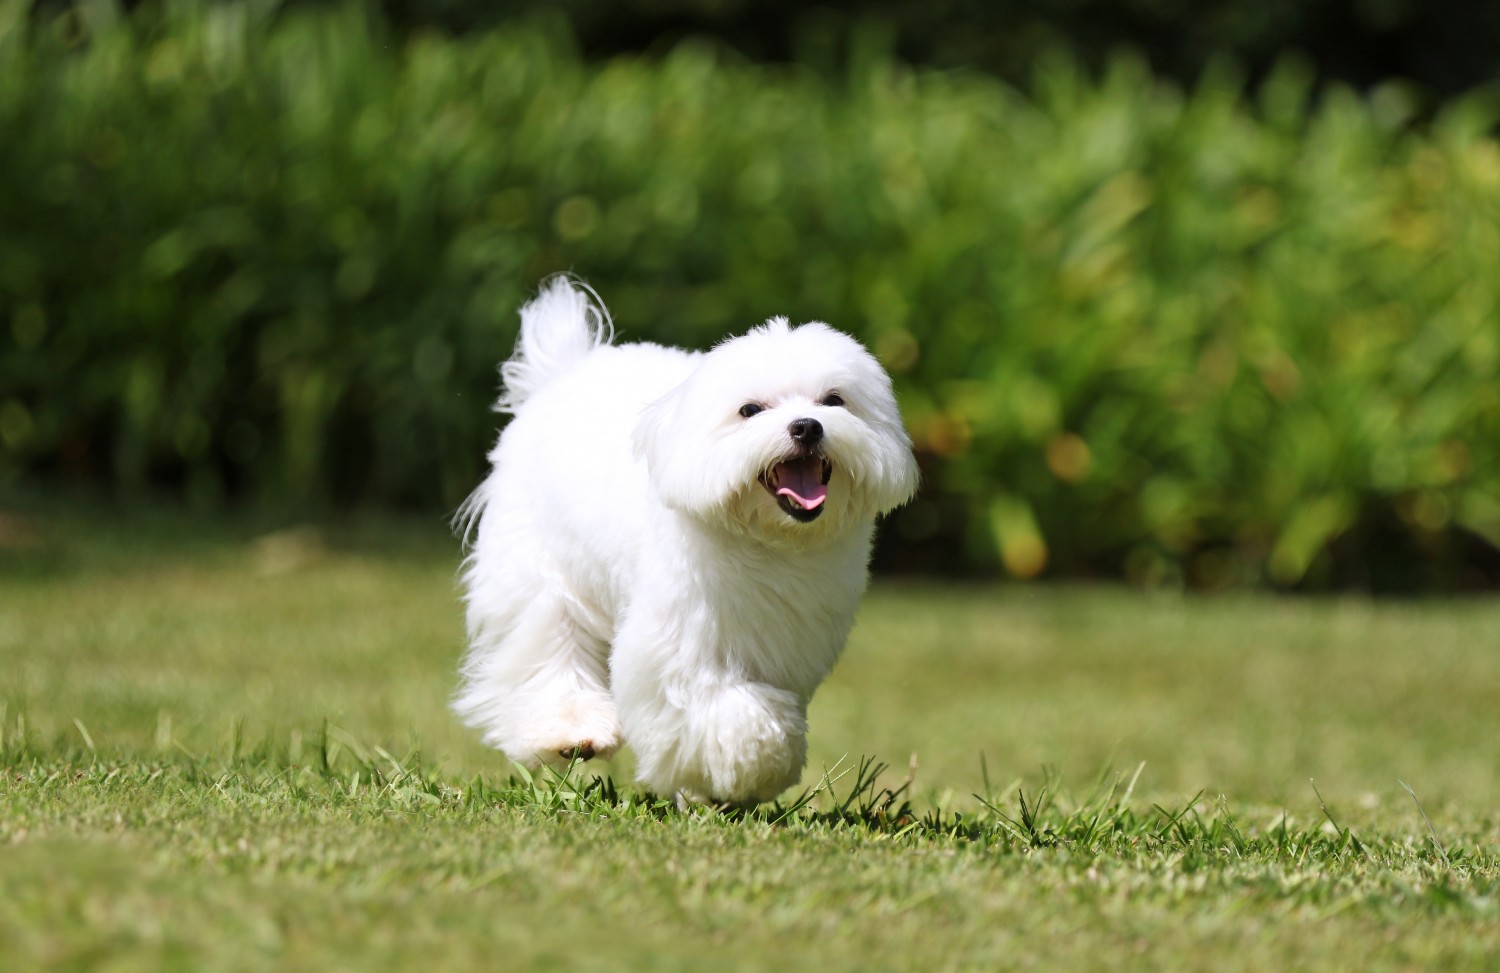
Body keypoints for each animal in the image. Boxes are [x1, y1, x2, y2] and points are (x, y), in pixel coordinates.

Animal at [450, 277, 918, 803]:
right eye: (750, 410)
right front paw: (750, 764)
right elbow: (721, 708)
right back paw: (571, 731)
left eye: (834, 401)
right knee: (547, 640)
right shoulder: (681, 636)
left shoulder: (790, 637)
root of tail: (563, 371)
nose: (807, 425)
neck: (767, 541)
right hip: (539, 566)